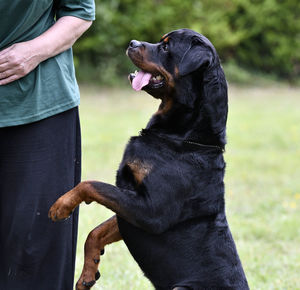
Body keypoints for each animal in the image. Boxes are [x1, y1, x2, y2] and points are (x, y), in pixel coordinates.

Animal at [48, 28, 248, 288]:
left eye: (165, 47)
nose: (132, 42)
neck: (185, 138)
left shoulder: (151, 212)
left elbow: (91, 185)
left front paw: (61, 206)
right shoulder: (132, 210)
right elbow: (96, 231)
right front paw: (87, 275)